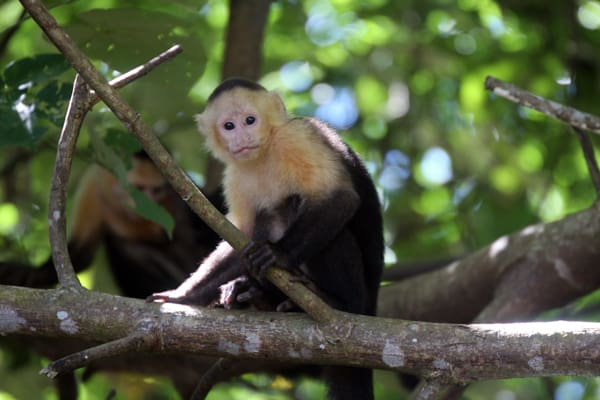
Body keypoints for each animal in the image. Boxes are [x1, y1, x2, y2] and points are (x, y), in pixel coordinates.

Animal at [0, 152, 223, 298]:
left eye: (156, 190)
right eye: (138, 188)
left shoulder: (176, 188)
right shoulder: (94, 184)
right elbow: (81, 254)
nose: (148, 204)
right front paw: (24, 273)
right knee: (125, 246)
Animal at [150, 79, 384, 400]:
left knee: (325, 227)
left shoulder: (297, 138)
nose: (243, 136)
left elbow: (341, 198)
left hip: (361, 299)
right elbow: (241, 240)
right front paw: (183, 295)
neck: (264, 154)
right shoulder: (235, 176)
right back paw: (256, 295)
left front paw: (279, 254)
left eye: (251, 120)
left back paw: (335, 302)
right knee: (270, 214)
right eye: (229, 125)